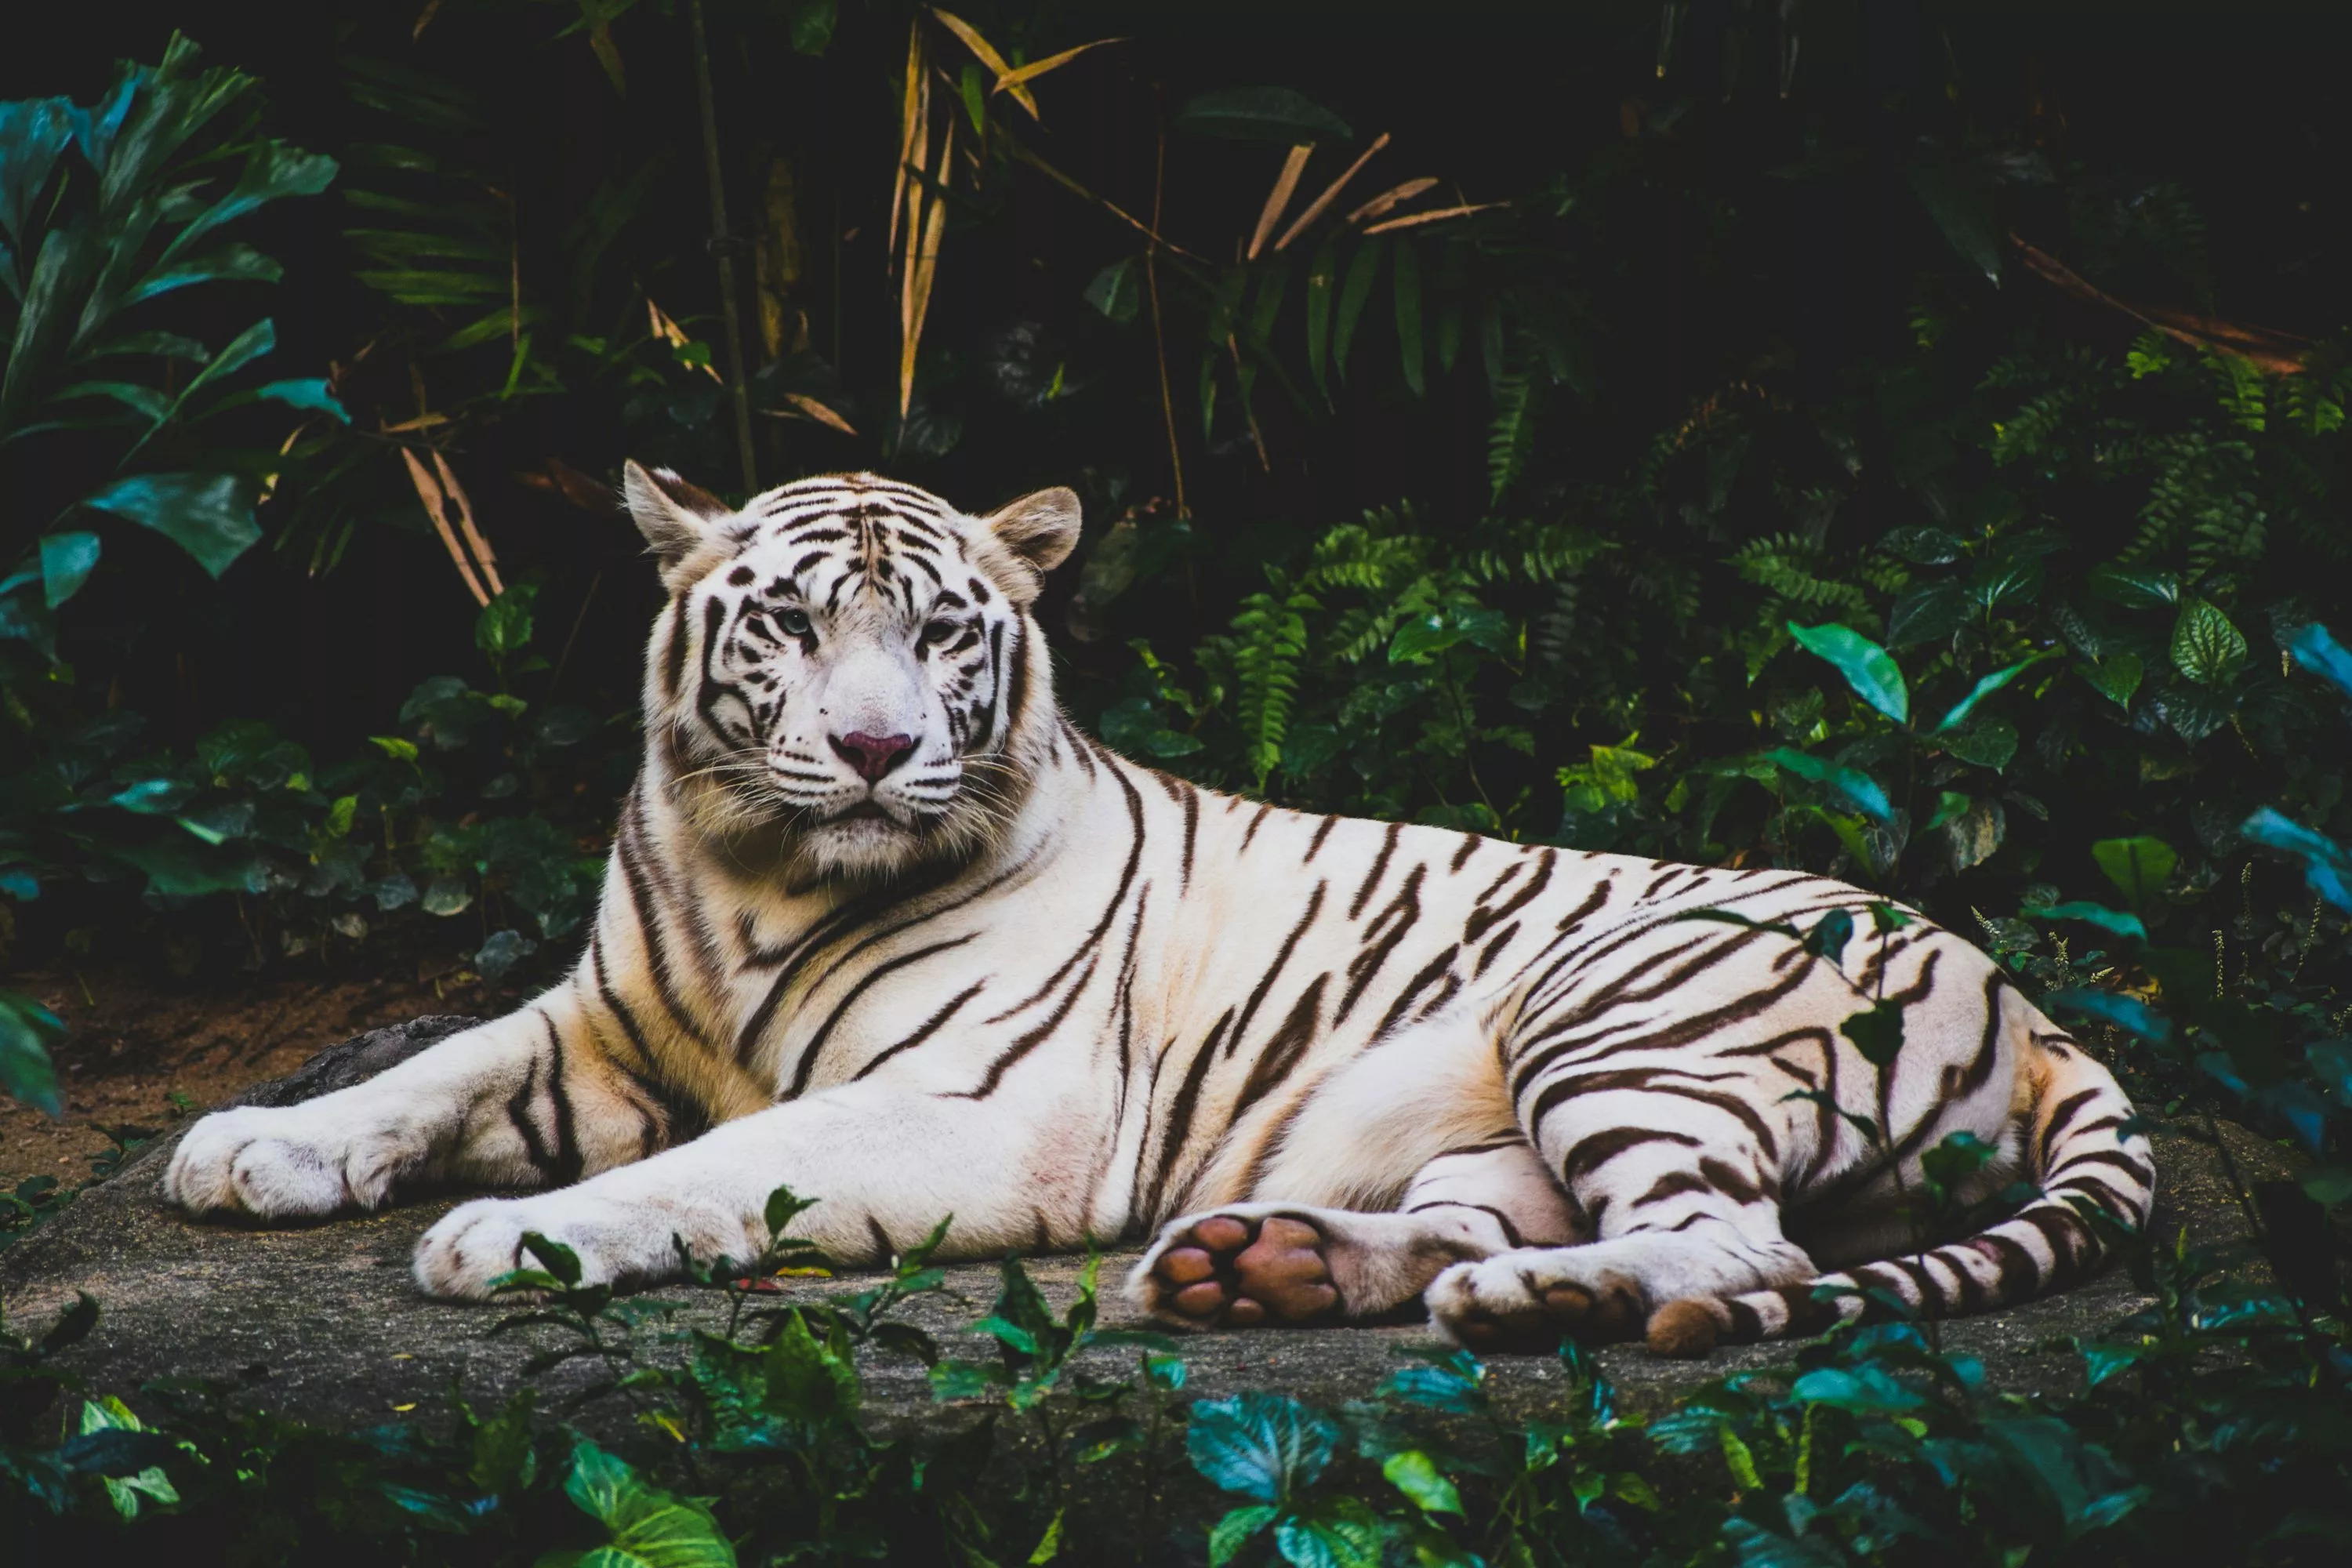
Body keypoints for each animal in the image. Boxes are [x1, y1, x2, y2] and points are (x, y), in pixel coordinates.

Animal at [163, 464, 2156, 1358]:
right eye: (791, 625)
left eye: (941, 632)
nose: (876, 748)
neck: (755, 873)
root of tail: (2033, 1001)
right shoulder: (599, 1019)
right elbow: (427, 1066)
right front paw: (251, 1145)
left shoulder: (978, 1109)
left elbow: (715, 1166)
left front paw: (509, 1238)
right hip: (1492, 1115)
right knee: (1498, 1220)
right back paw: (1264, 1263)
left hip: (1621, 1009)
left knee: (1745, 1250)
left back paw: (1537, 1300)